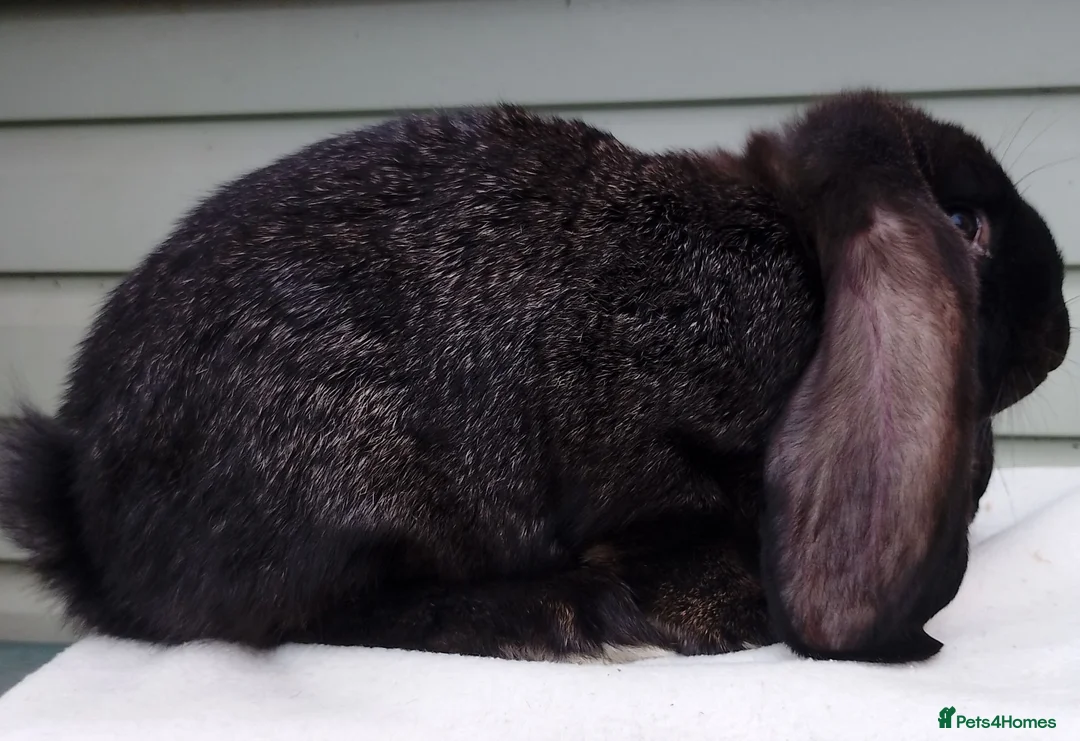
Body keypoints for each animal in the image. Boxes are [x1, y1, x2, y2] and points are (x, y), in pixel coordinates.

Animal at [0, 90, 1070, 664]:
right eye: (965, 227)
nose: (1062, 333)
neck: (791, 259)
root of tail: (88, 521)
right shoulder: (655, 455)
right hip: (351, 484)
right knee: (320, 618)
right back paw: (547, 615)